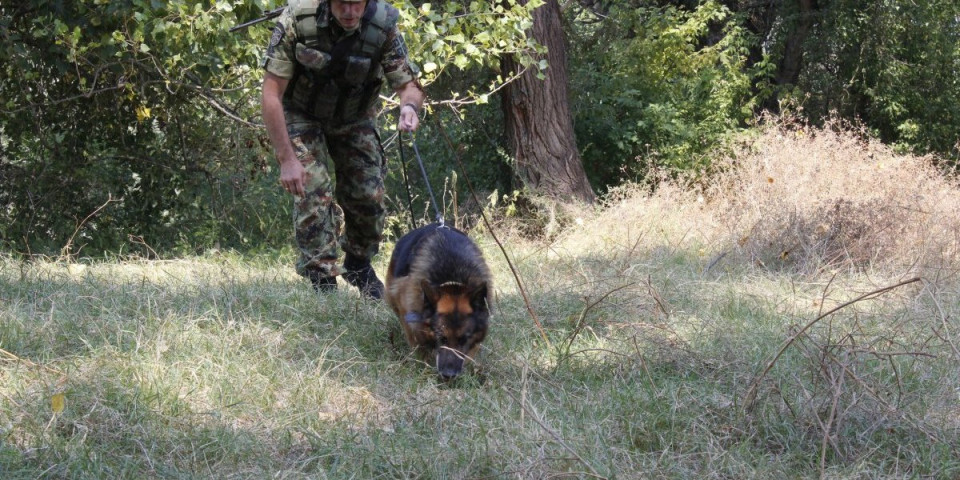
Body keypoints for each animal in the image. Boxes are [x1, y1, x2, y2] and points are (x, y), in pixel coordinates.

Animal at [384, 223, 492, 380]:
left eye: (464, 339)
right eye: (442, 338)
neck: (453, 281)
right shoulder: (409, 313)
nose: (449, 375)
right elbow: (418, 342)